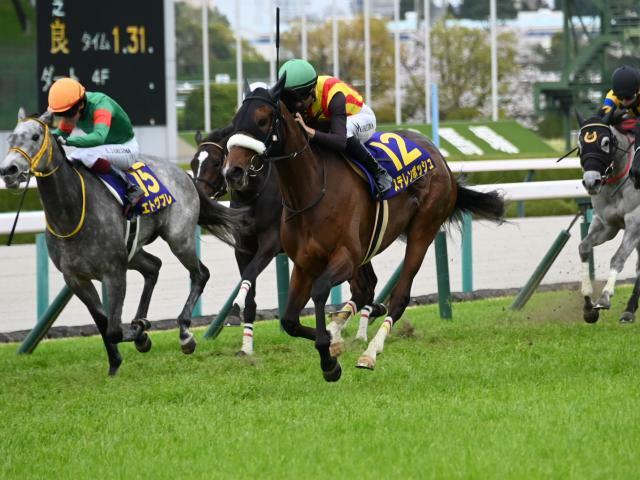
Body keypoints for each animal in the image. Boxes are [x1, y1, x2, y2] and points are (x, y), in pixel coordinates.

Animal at [0, 110, 240, 376]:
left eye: (35, 136)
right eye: (11, 137)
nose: (9, 170)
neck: (71, 212)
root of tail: (184, 175)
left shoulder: (114, 272)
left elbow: (114, 329)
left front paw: (140, 335)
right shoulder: (75, 278)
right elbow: (103, 323)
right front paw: (116, 361)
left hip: (179, 238)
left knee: (200, 273)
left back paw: (184, 332)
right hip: (133, 251)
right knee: (154, 266)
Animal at [190, 129, 384, 354]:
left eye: (215, 163)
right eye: (193, 163)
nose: (199, 198)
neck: (255, 194)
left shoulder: (270, 244)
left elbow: (250, 274)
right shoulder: (244, 249)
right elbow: (249, 292)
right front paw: (246, 346)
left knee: (363, 287)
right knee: (367, 285)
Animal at [224, 77, 504, 380]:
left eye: (262, 120)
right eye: (235, 120)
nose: (233, 171)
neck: (311, 190)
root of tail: (440, 159)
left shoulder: (345, 255)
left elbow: (320, 291)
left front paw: (329, 359)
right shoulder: (303, 263)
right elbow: (289, 321)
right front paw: (332, 343)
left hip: (423, 229)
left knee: (399, 296)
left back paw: (370, 352)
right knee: (364, 291)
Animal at [576, 111, 640, 322]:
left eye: (605, 142)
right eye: (580, 144)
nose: (591, 182)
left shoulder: (635, 222)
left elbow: (618, 257)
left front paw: (604, 297)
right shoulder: (606, 225)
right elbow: (584, 247)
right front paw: (588, 303)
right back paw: (629, 310)